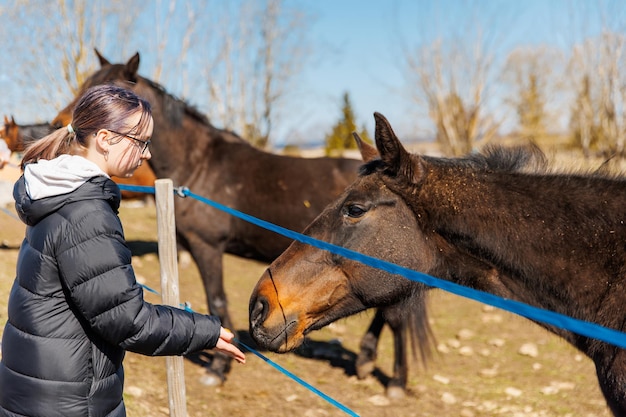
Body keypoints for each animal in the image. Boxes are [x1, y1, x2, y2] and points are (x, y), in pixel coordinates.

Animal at [52, 49, 428, 394]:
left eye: (109, 90)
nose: (61, 124)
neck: (200, 164)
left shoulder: (207, 246)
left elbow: (217, 300)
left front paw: (218, 368)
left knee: (396, 318)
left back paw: (395, 381)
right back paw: (365, 361)